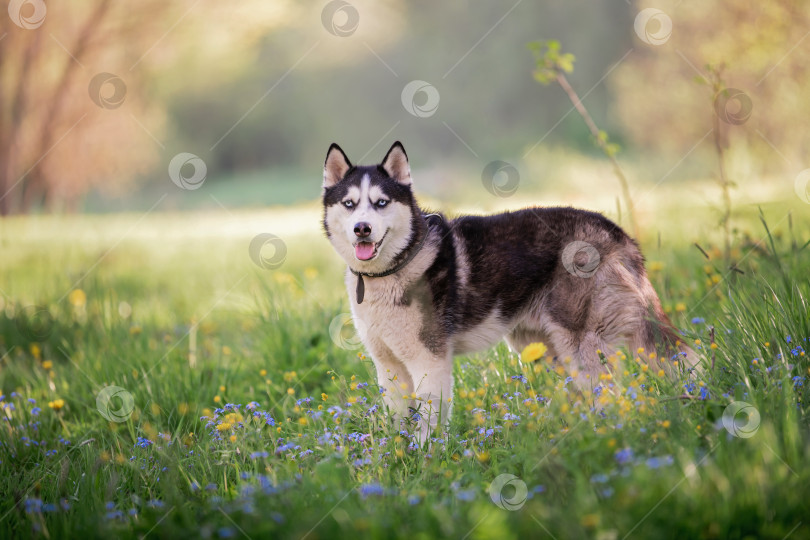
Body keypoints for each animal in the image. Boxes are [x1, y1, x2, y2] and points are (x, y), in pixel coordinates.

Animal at [322, 141, 696, 440]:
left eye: (381, 203)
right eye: (349, 204)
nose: (362, 229)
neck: (395, 267)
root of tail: (617, 232)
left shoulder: (430, 361)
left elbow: (429, 426)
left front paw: (426, 460)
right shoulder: (389, 368)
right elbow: (397, 422)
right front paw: (396, 457)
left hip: (581, 348)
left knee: (614, 399)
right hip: (542, 349)